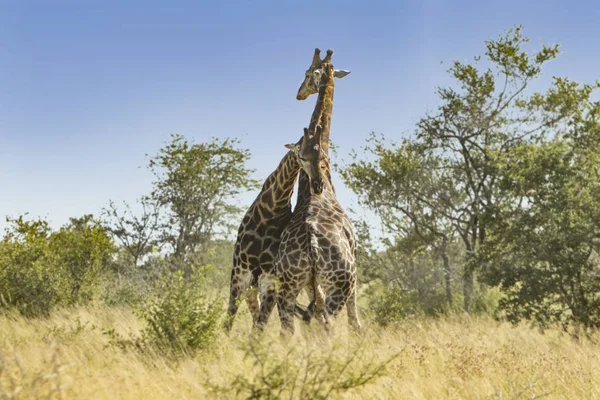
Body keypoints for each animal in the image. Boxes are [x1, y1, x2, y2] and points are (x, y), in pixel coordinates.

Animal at [255, 48, 358, 334]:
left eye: (307, 73)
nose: (299, 93)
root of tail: (312, 244)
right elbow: (355, 321)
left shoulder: (311, 285)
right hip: (340, 281)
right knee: (327, 322)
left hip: (290, 285)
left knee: (288, 328)